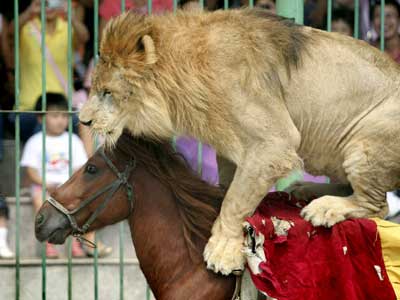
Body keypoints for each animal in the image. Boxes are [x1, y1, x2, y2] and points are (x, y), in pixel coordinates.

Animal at [79, 8, 400, 276]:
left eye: (107, 92)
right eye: (94, 89)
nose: (83, 121)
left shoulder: (274, 143)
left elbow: (236, 200)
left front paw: (222, 250)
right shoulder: (229, 144)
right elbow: (229, 187)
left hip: (364, 143)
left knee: (378, 206)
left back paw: (324, 208)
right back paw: (307, 190)